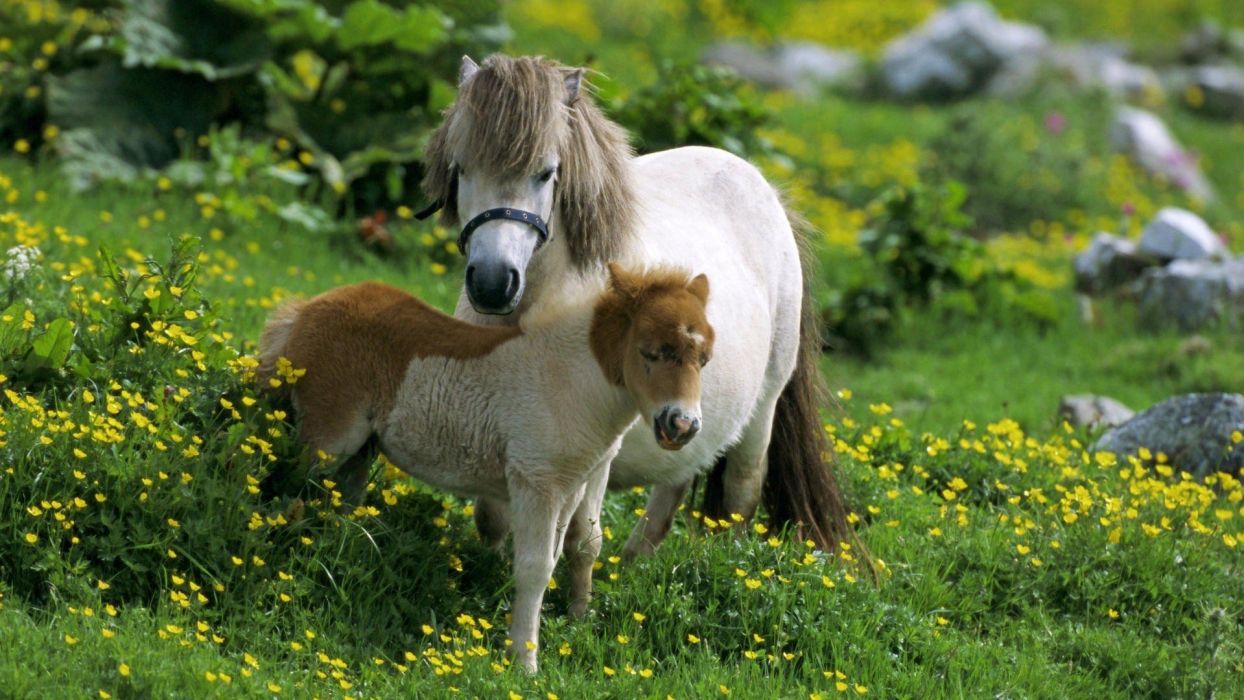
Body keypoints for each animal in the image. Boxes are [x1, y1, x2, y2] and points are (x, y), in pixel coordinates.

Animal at [257, 263, 713, 672]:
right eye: (650, 351)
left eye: (705, 360)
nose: (683, 425)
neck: (571, 381)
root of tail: (306, 308)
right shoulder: (535, 482)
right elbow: (533, 569)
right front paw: (524, 663)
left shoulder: (570, 487)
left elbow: (565, 554)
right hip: (329, 440)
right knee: (288, 490)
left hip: (361, 449)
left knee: (342, 503)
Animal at [419, 54, 856, 558]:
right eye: (461, 168)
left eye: (546, 173)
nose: (492, 283)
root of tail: (766, 191)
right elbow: (492, 517)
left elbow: (578, 535)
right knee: (677, 480)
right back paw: (632, 562)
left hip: (762, 409)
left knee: (740, 494)